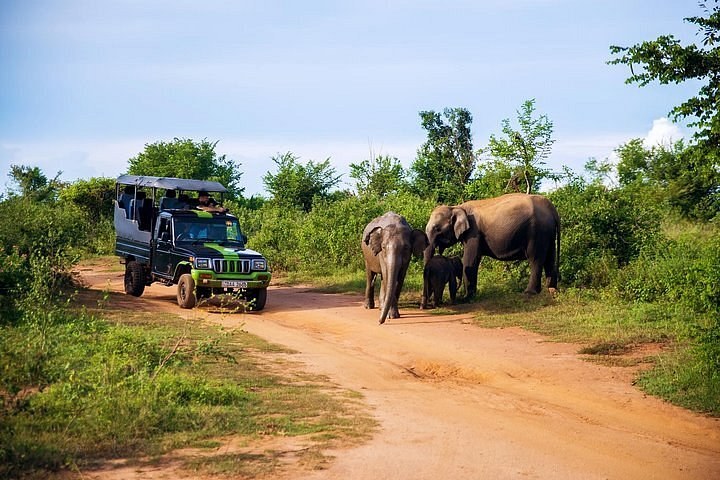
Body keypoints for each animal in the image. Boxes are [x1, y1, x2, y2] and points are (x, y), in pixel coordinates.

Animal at [424, 193, 560, 298]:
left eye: (437, 229)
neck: (456, 207)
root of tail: (552, 209)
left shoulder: (473, 233)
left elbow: (470, 260)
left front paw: (466, 298)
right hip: (548, 233)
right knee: (550, 258)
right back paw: (551, 291)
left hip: (538, 232)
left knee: (535, 259)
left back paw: (529, 293)